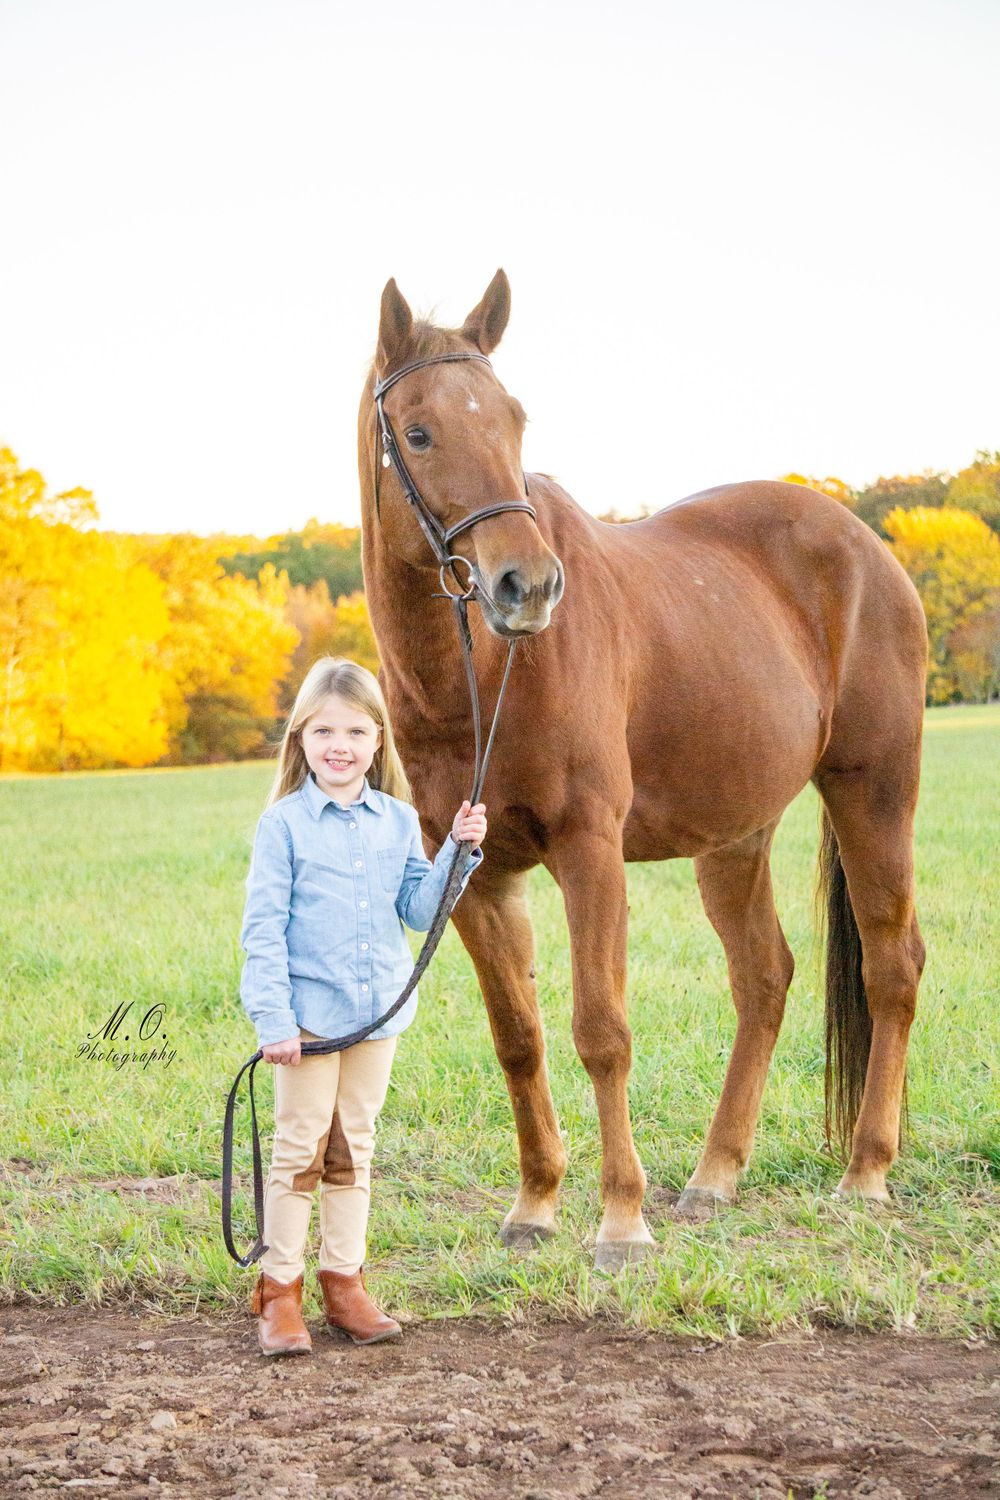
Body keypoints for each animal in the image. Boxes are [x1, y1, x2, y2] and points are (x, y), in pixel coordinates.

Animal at [356, 269, 927, 1271]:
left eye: (515, 422)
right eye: (418, 432)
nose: (528, 586)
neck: (484, 676)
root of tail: (865, 546)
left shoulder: (590, 850)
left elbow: (601, 1031)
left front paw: (620, 1220)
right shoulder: (472, 871)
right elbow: (520, 1037)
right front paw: (537, 1204)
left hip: (874, 794)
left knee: (894, 967)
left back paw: (865, 1173)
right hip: (735, 837)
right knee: (764, 978)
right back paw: (715, 1174)